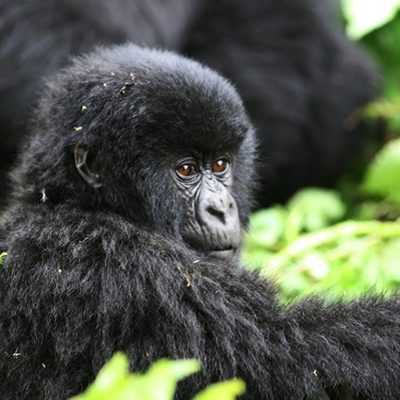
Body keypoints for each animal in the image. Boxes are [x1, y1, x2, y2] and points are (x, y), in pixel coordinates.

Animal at [0, 44, 400, 400]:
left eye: (220, 164)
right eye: (186, 170)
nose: (221, 209)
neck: (73, 202)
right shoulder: (129, 269)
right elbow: (295, 354)